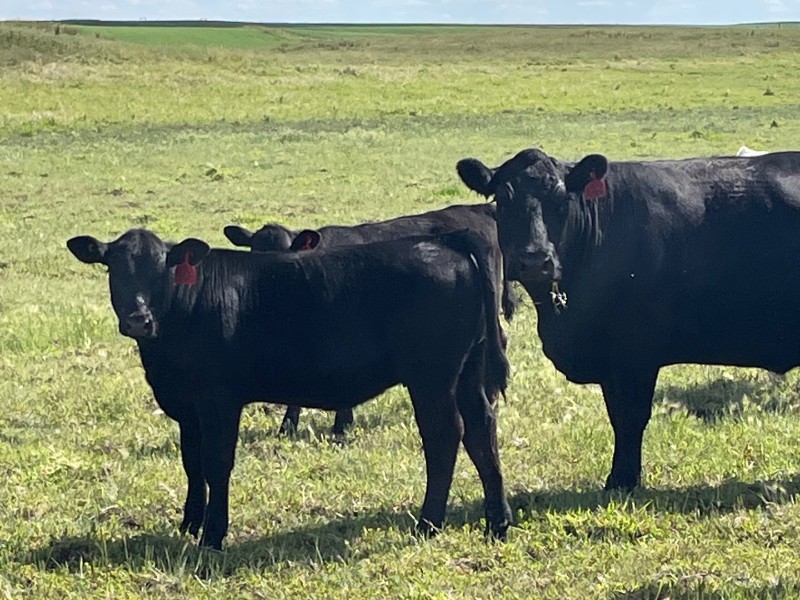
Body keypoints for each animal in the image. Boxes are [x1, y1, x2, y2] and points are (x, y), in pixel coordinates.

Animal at [67, 228, 512, 550]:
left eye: (163, 267)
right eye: (114, 268)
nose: (138, 319)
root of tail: (443, 241)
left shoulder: (218, 400)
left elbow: (216, 463)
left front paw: (213, 535)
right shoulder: (186, 406)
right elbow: (191, 462)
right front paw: (190, 523)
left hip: (431, 376)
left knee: (444, 437)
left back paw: (428, 524)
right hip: (468, 372)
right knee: (481, 431)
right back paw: (497, 523)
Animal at [456, 146, 800, 491]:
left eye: (562, 197)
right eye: (503, 198)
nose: (534, 260)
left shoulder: (635, 353)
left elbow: (630, 416)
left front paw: (622, 479)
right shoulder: (612, 362)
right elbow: (617, 415)